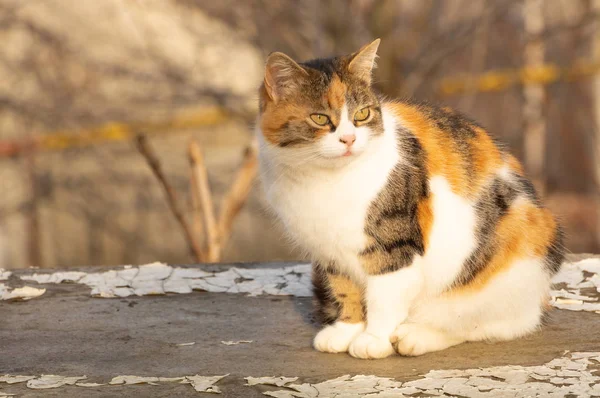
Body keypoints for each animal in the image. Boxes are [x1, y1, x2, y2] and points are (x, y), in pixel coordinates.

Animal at [255, 38, 564, 360]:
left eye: (362, 115)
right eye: (319, 118)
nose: (349, 140)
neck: (323, 181)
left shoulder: (394, 247)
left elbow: (384, 298)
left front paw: (373, 339)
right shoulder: (329, 251)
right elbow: (345, 290)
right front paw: (346, 330)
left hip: (505, 259)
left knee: (487, 323)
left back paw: (414, 336)